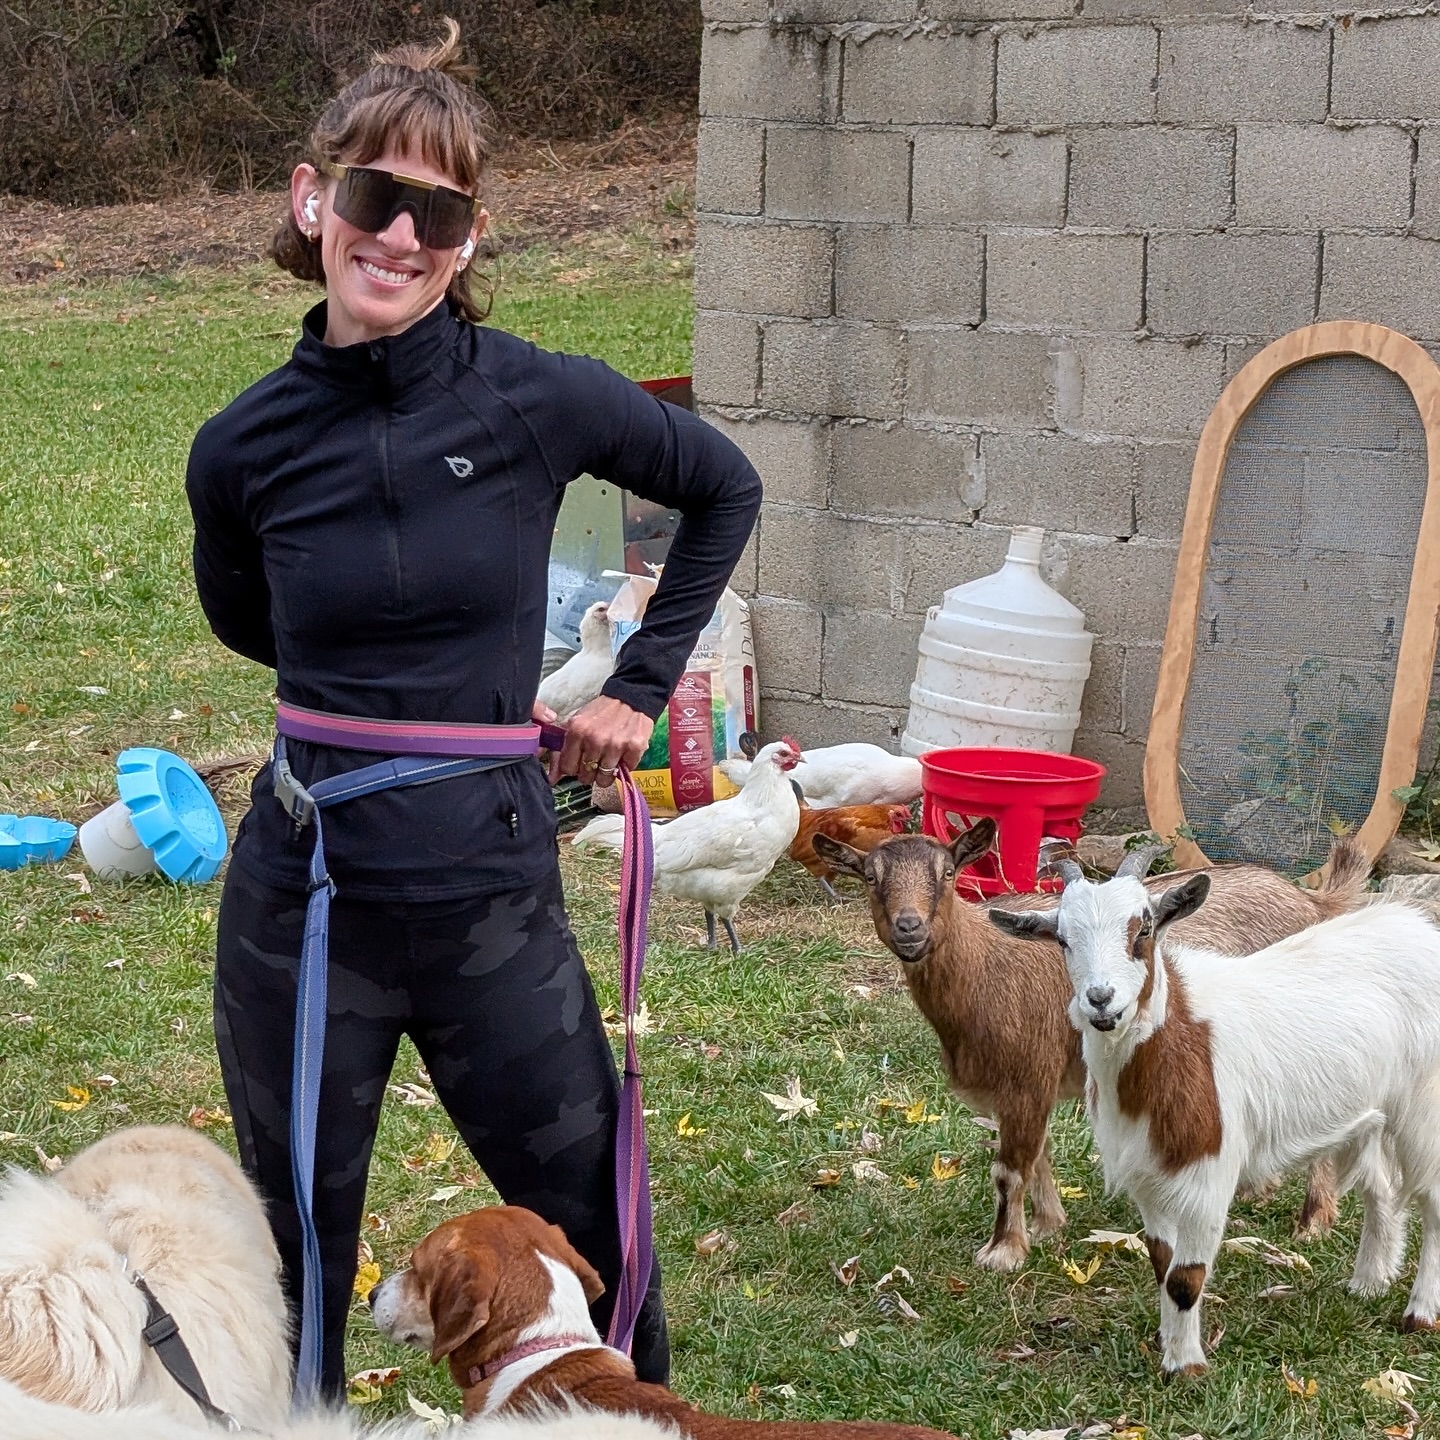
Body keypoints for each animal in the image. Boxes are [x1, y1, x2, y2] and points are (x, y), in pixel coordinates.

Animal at [817, 823, 1365, 1272]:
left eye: (948, 872)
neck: (984, 968)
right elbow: (1038, 1156)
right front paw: (1047, 1226)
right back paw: (1258, 1191)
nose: (910, 928)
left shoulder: (1026, 1079)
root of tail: (1313, 905)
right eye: (870, 877)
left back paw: (1313, 1221)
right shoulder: (1018, 1090)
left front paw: (1002, 1251)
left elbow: (1008, 1169)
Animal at [990, 864, 1440, 1370]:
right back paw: (1368, 1283)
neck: (1180, 1041)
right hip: (1368, 1113)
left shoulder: (1209, 1175)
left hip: (1424, 1106)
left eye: (1143, 929)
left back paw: (1420, 1313)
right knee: (1380, 1186)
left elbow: (1186, 1277)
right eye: (1064, 939)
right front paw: (1168, 1345)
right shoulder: (1147, 1174)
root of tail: (1416, 928)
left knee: (1434, 1202)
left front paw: (1187, 1367)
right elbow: (1162, 1263)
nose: (1101, 999)